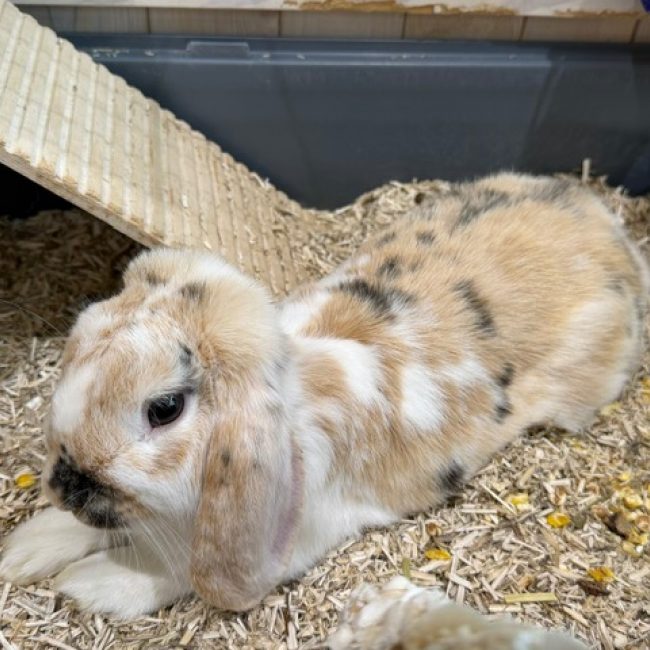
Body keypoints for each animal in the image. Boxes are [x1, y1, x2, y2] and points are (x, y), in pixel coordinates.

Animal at [1, 173, 647, 619]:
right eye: (82, 330)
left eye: (164, 409)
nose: (66, 485)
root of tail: (607, 224)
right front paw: (26, 549)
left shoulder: (292, 533)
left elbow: (178, 565)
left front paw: (91, 586)